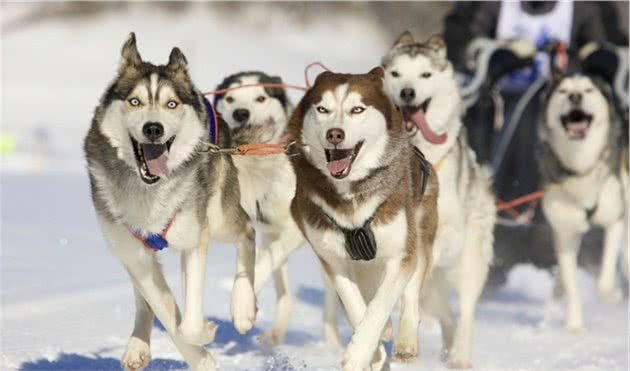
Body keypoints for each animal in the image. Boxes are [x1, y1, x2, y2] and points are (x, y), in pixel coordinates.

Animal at [85, 35, 258, 371]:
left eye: (172, 104)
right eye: (135, 101)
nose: (154, 128)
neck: (148, 190)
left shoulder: (194, 240)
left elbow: (186, 324)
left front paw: (205, 337)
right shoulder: (135, 255)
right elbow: (165, 310)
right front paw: (201, 357)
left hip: (219, 217)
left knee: (247, 230)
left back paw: (243, 308)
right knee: (144, 300)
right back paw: (137, 346)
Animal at [212, 71, 340, 348]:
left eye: (261, 97)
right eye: (229, 98)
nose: (241, 113)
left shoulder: (296, 229)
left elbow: (260, 266)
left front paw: (242, 309)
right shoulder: (262, 228)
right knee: (286, 292)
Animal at [288, 67, 440, 371]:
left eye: (357, 109)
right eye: (323, 109)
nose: (335, 134)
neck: (350, 193)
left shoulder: (400, 254)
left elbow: (380, 305)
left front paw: (358, 353)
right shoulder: (333, 260)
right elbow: (356, 307)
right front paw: (371, 352)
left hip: (420, 232)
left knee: (411, 293)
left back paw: (405, 340)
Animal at [380, 32, 498, 370]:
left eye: (425, 75)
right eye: (395, 74)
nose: (407, 93)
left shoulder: (448, 231)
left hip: (470, 261)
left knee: (466, 311)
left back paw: (459, 354)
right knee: (443, 312)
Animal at [540, 75, 628, 332]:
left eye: (588, 90)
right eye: (563, 91)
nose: (575, 97)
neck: (581, 168)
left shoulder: (615, 219)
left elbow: (606, 274)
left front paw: (610, 294)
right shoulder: (565, 232)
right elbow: (571, 283)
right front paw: (574, 326)